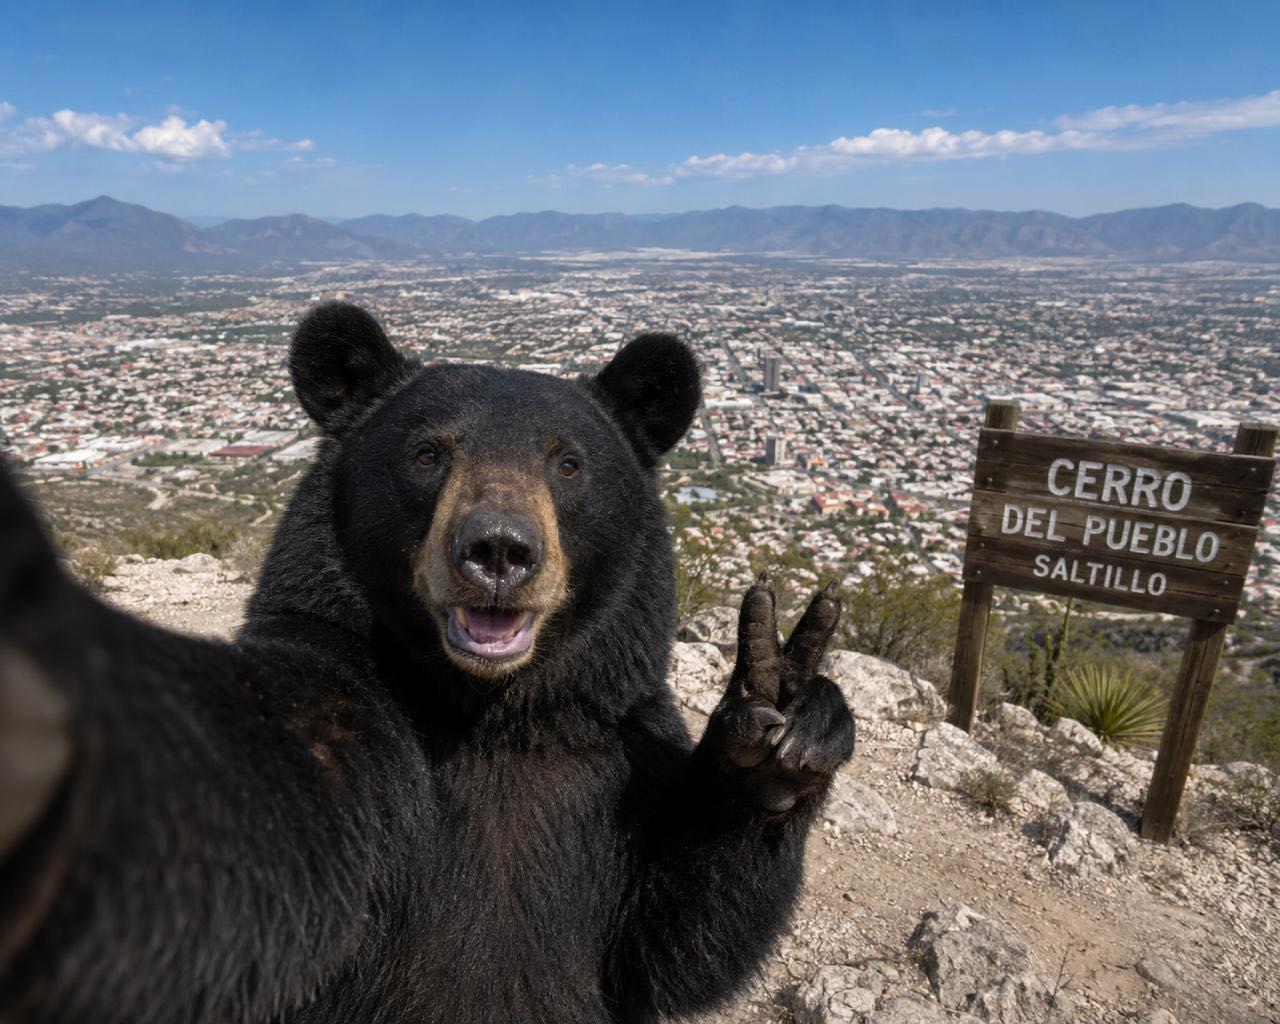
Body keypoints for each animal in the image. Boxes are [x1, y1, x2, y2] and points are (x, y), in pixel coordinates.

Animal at [0, 301, 855, 1024]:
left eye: (568, 464)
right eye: (427, 454)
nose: (499, 551)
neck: (491, 711)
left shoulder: (618, 747)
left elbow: (677, 938)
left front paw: (781, 723)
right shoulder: (353, 710)